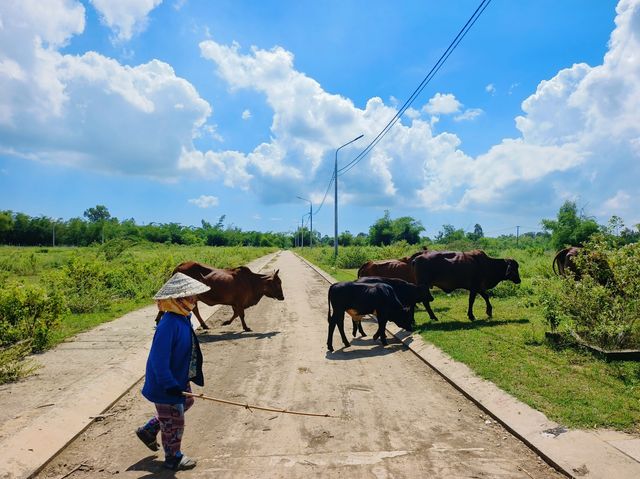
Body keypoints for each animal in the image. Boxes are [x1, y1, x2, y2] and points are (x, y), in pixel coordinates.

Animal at [154, 262, 284, 334]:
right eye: (278, 283)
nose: (282, 297)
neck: (252, 282)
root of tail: (178, 267)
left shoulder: (235, 303)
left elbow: (236, 314)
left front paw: (226, 322)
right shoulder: (240, 302)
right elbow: (241, 315)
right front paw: (246, 327)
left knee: (194, 309)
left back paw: (204, 325)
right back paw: (158, 321)